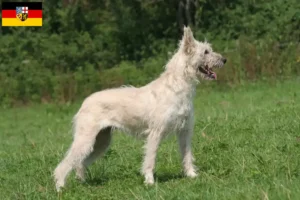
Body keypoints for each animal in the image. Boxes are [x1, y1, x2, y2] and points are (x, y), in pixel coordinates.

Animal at [54, 26, 227, 191]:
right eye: (205, 52)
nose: (224, 60)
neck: (176, 86)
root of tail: (84, 102)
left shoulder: (185, 131)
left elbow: (187, 155)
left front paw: (191, 175)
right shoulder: (155, 133)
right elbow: (150, 159)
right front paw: (149, 182)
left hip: (101, 142)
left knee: (79, 163)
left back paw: (82, 183)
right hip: (85, 140)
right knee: (64, 164)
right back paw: (60, 187)